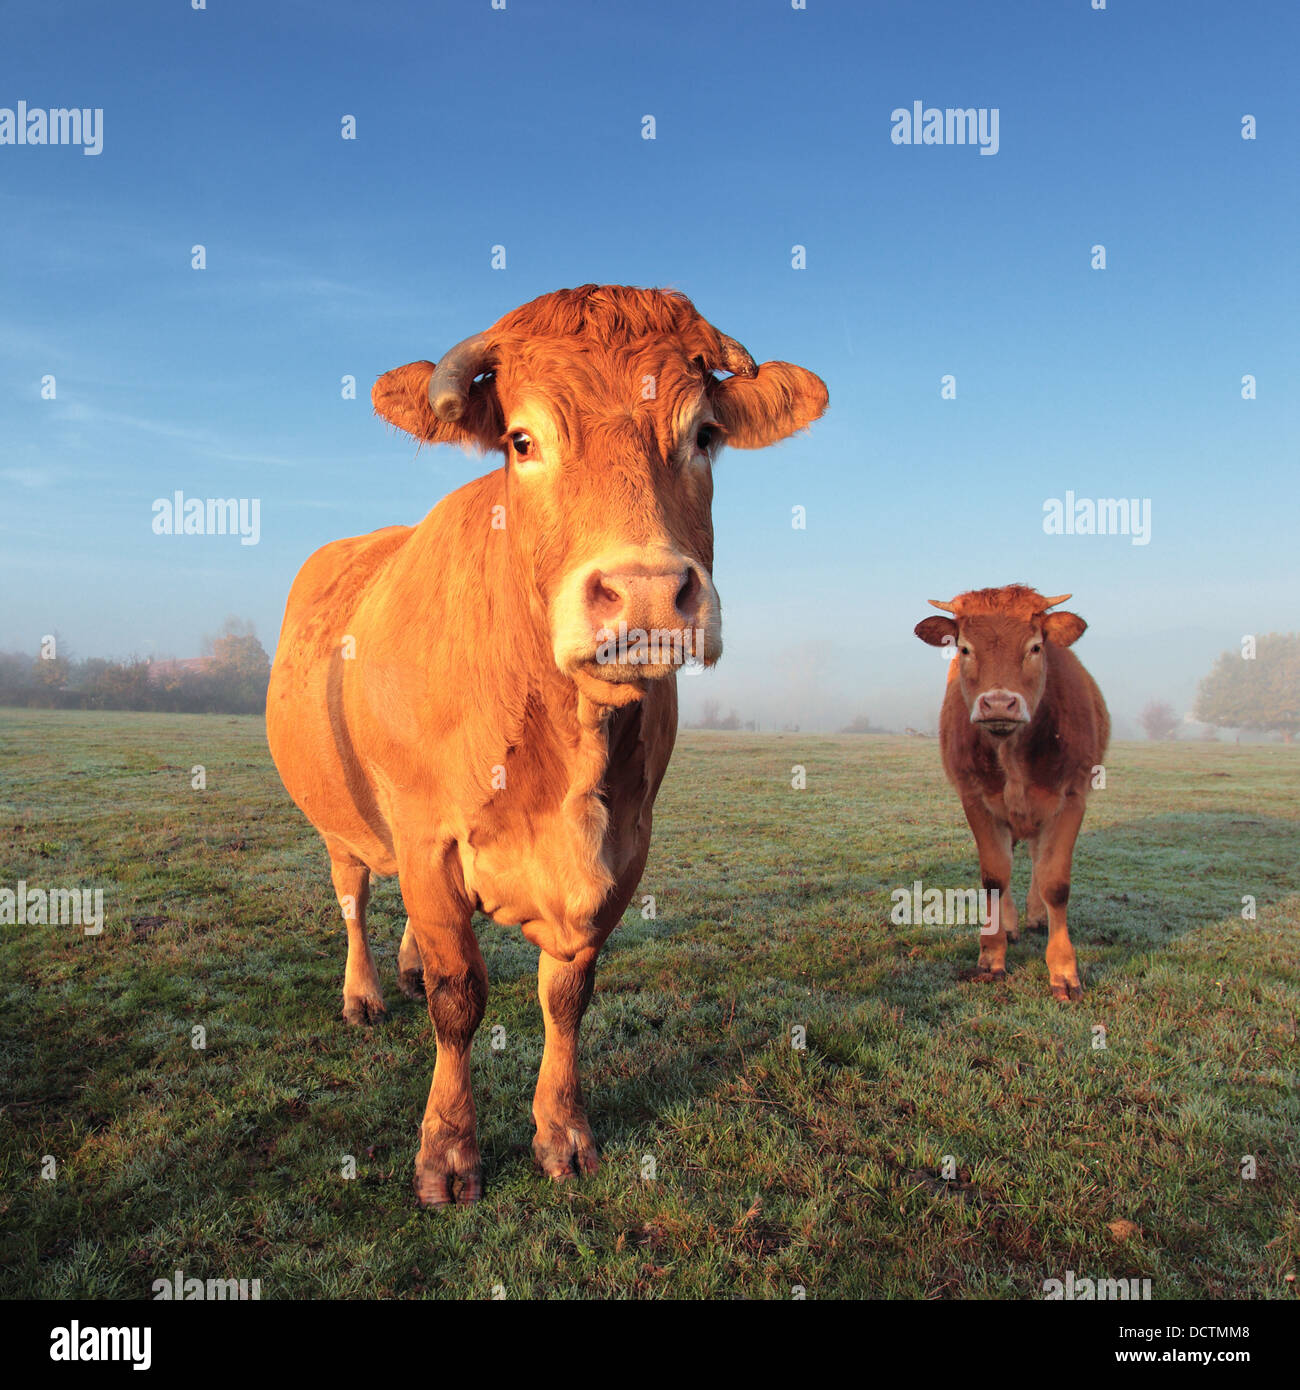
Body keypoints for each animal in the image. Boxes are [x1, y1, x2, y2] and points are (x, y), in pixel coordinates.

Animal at [266, 285, 827, 1205]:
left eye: (703, 435)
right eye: (523, 441)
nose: (645, 592)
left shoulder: (623, 847)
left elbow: (567, 995)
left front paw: (562, 1132)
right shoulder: (426, 837)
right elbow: (459, 997)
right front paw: (448, 1150)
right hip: (338, 815)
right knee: (352, 895)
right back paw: (366, 993)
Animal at [913, 585, 1109, 1001]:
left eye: (1035, 646)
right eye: (964, 648)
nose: (999, 703)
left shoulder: (1072, 798)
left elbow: (1055, 884)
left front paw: (1064, 971)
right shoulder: (975, 800)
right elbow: (994, 877)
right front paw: (991, 957)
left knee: (1038, 860)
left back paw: (1036, 916)